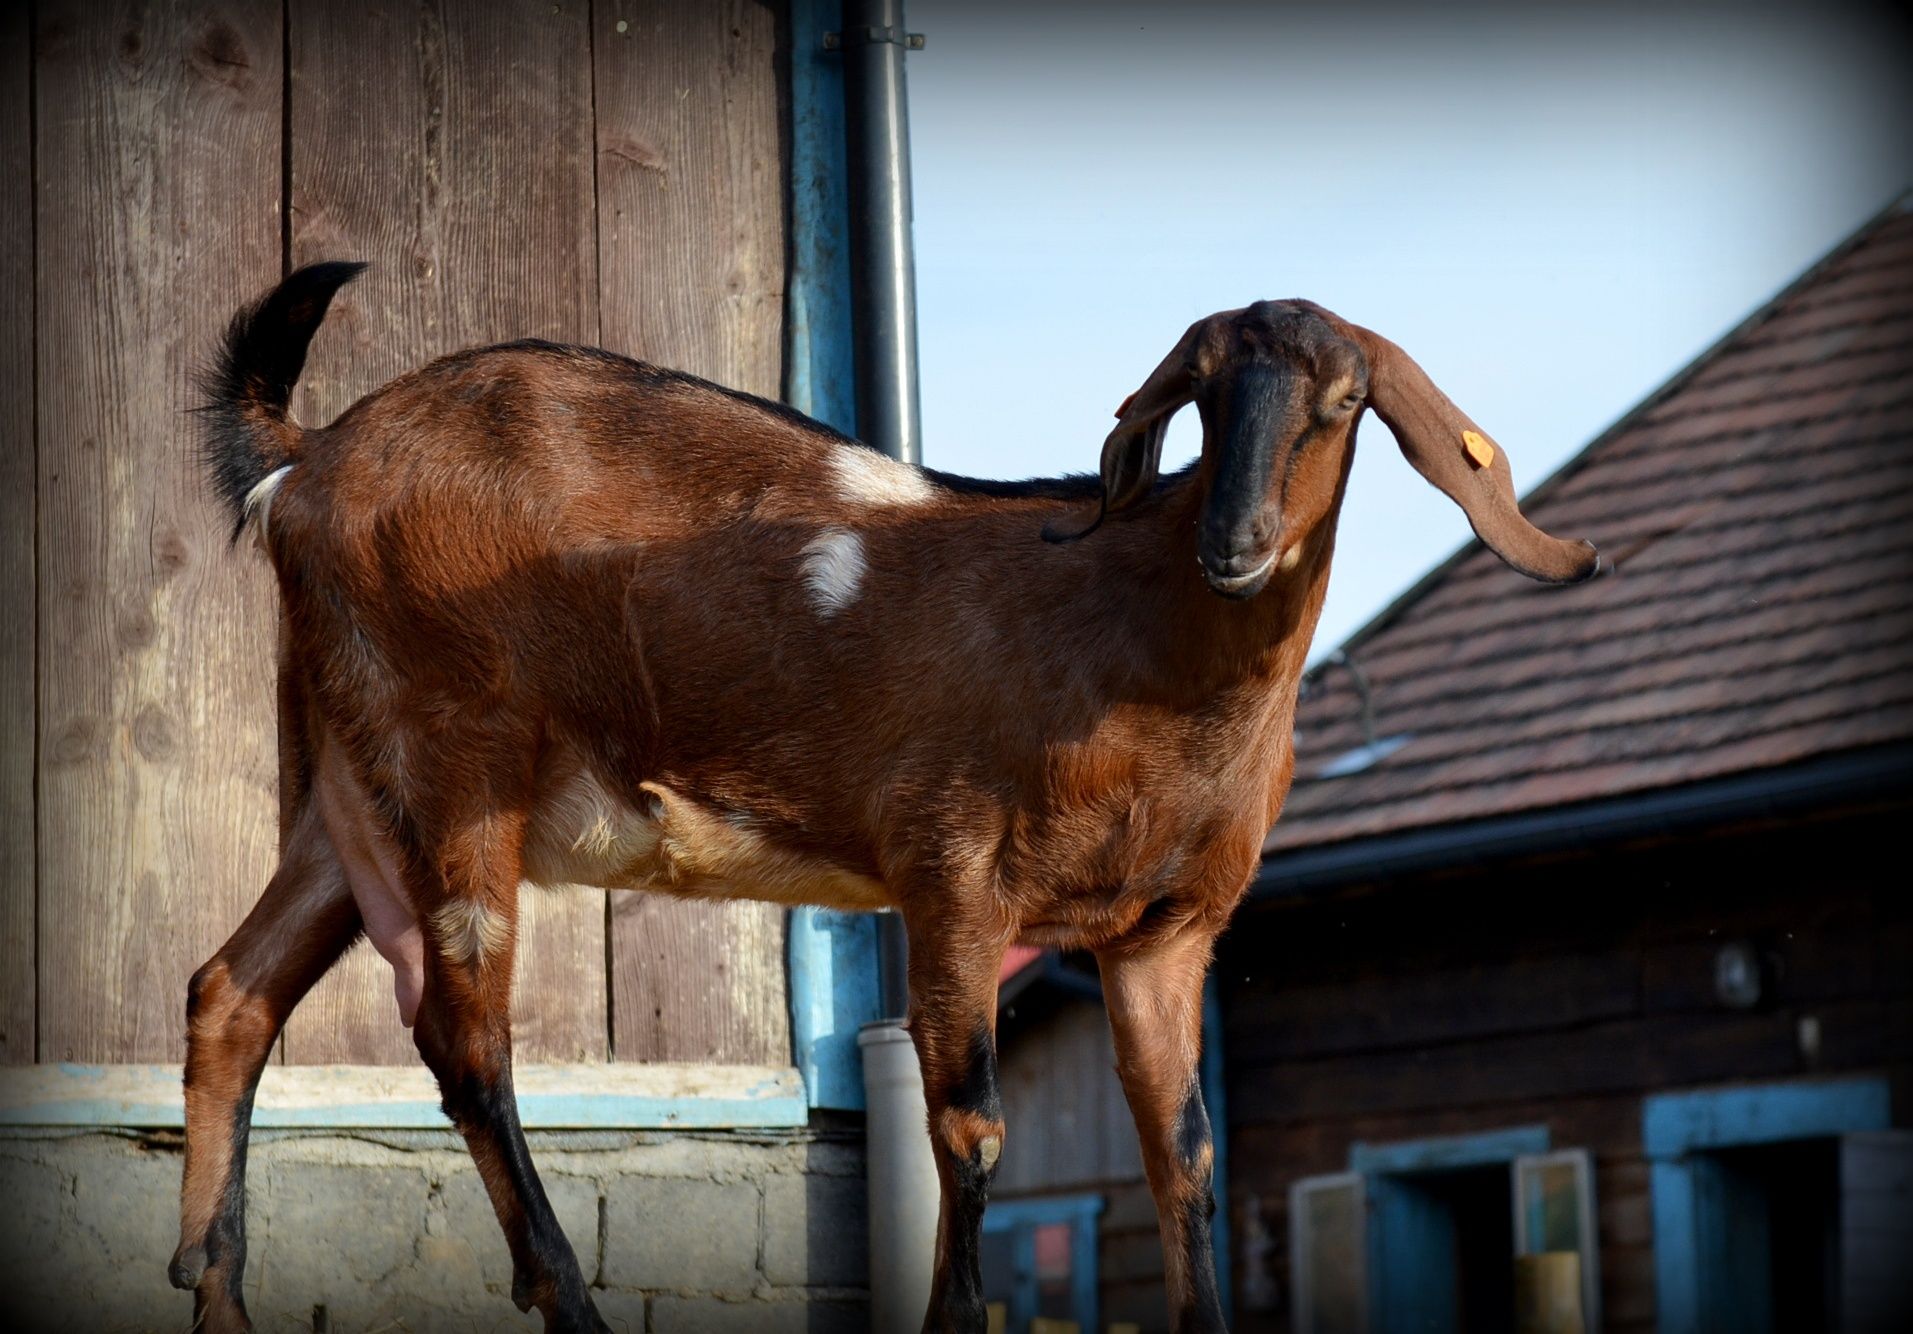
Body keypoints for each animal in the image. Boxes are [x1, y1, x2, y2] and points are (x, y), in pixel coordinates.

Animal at [172, 262, 1591, 1332]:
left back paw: (216, 1292)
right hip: (449, 757)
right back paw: (566, 1298)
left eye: (1341, 400)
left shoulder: (1162, 930)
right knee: (465, 1044)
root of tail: (304, 460)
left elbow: (1180, 1147)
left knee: (233, 991)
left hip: (348, 783)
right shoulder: (954, 873)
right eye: (1199, 397)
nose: (1230, 543)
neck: (1129, 622)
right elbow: (968, 1124)